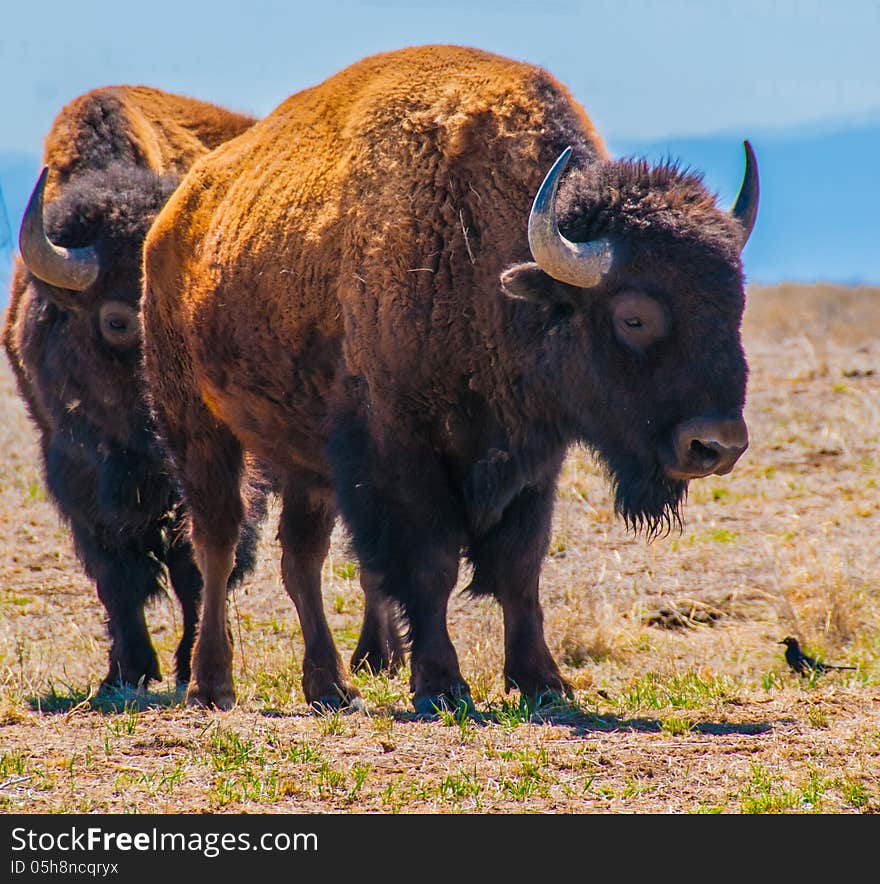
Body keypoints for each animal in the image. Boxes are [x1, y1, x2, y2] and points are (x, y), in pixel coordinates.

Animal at [2, 84, 268, 692]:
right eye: (118, 320)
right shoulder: (74, 468)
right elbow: (116, 574)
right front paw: (127, 669)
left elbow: (198, 563)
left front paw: (188, 662)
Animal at [143, 46, 756, 712]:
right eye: (634, 316)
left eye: (735, 303)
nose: (716, 444)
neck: (485, 257)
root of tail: (175, 218)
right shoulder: (401, 453)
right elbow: (431, 564)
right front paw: (441, 684)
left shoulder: (532, 459)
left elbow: (519, 566)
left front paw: (541, 680)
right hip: (195, 426)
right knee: (218, 542)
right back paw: (212, 684)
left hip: (305, 459)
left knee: (300, 556)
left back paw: (330, 686)